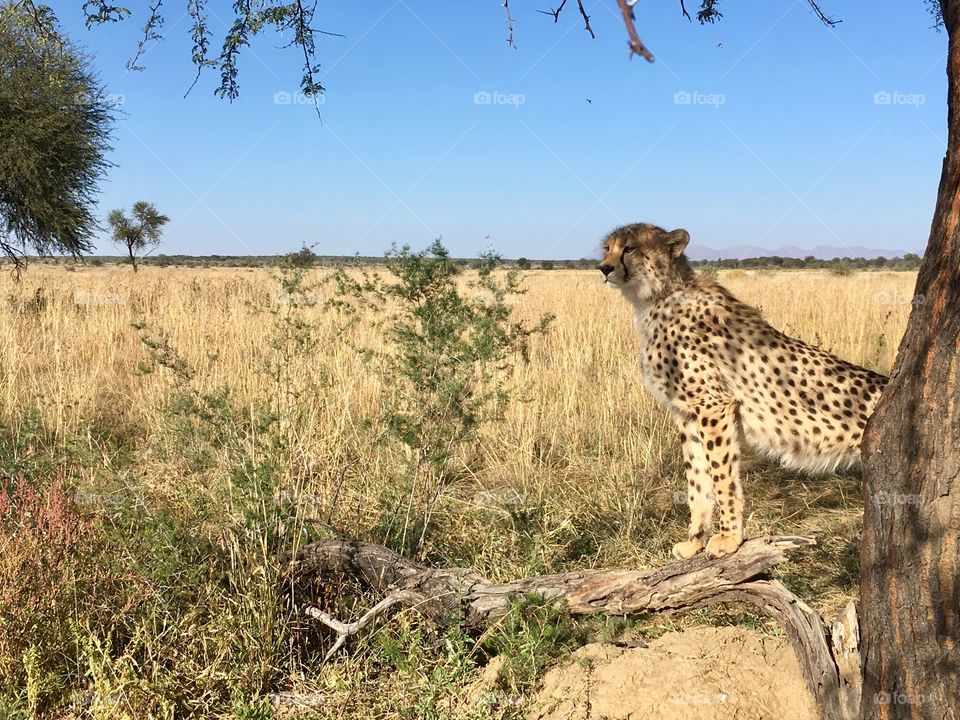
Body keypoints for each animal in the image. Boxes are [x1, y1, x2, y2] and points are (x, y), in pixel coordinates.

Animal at [598, 223, 887, 559]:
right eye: (607, 248)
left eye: (630, 248)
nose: (603, 268)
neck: (656, 297)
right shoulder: (687, 414)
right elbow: (697, 482)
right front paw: (694, 541)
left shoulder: (714, 406)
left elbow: (722, 478)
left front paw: (729, 538)